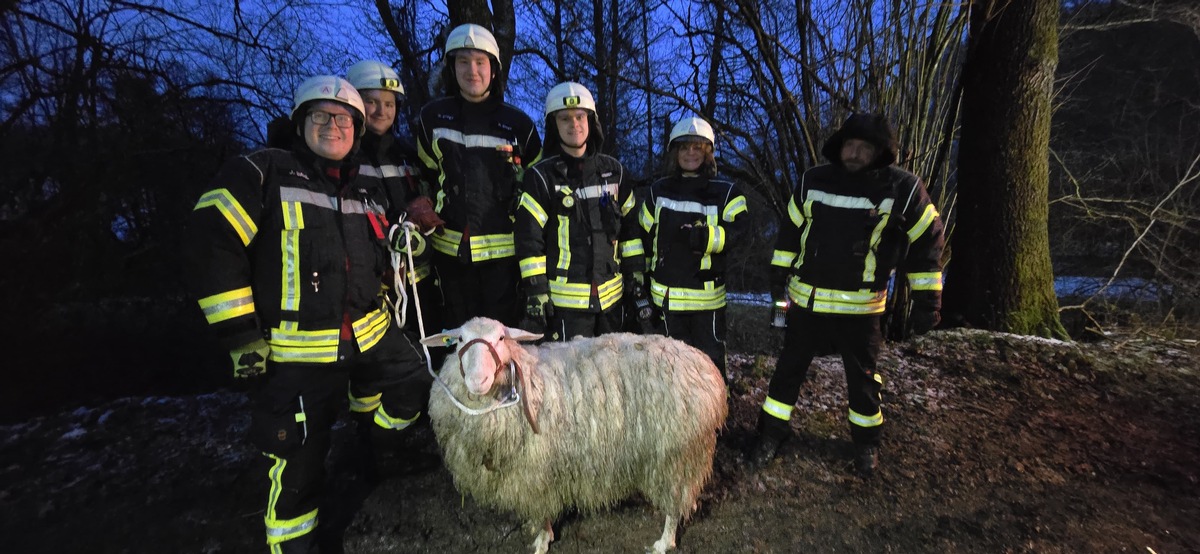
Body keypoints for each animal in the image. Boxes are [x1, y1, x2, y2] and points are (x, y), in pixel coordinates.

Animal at [417, 316, 724, 554]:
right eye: (459, 339)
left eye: (502, 337)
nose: (477, 381)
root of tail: (707, 368)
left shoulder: (536, 472)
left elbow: (541, 511)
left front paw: (542, 540)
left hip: (675, 455)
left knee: (674, 504)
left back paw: (663, 542)